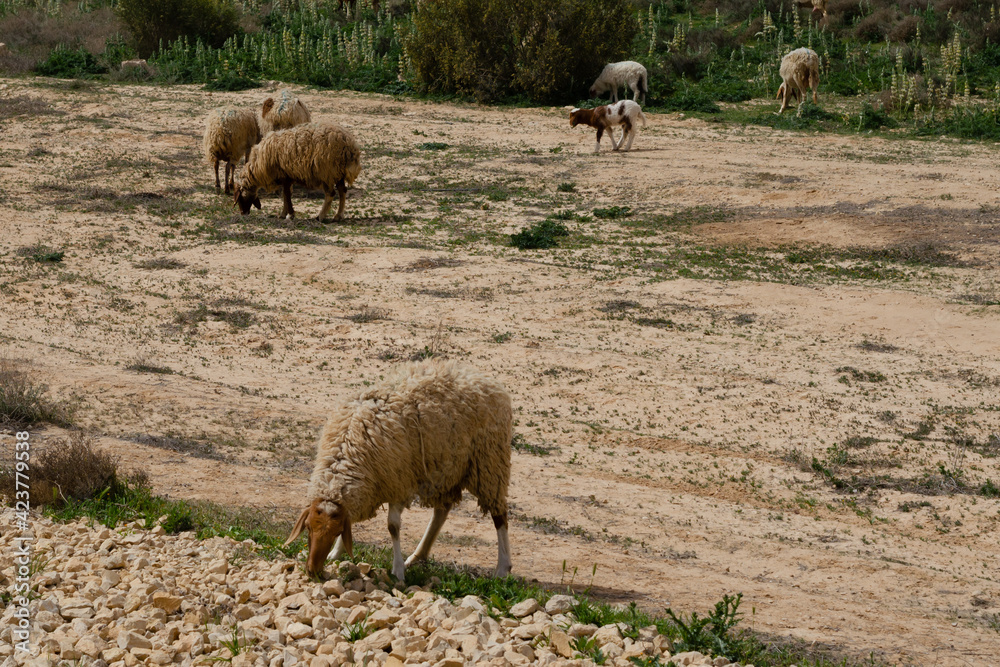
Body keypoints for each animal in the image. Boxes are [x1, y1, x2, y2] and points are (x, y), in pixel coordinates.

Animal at [283, 359, 513, 581]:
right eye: (308, 527)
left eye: (335, 531)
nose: (312, 571)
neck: (349, 444)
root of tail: (482, 378)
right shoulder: (371, 486)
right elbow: (353, 519)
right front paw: (337, 553)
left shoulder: (398, 482)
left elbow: (392, 527)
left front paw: (398, 570)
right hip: (445, 467)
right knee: (442, 510)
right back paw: (418, 555)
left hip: (489, 462)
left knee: (499, 514)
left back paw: (502, 569)